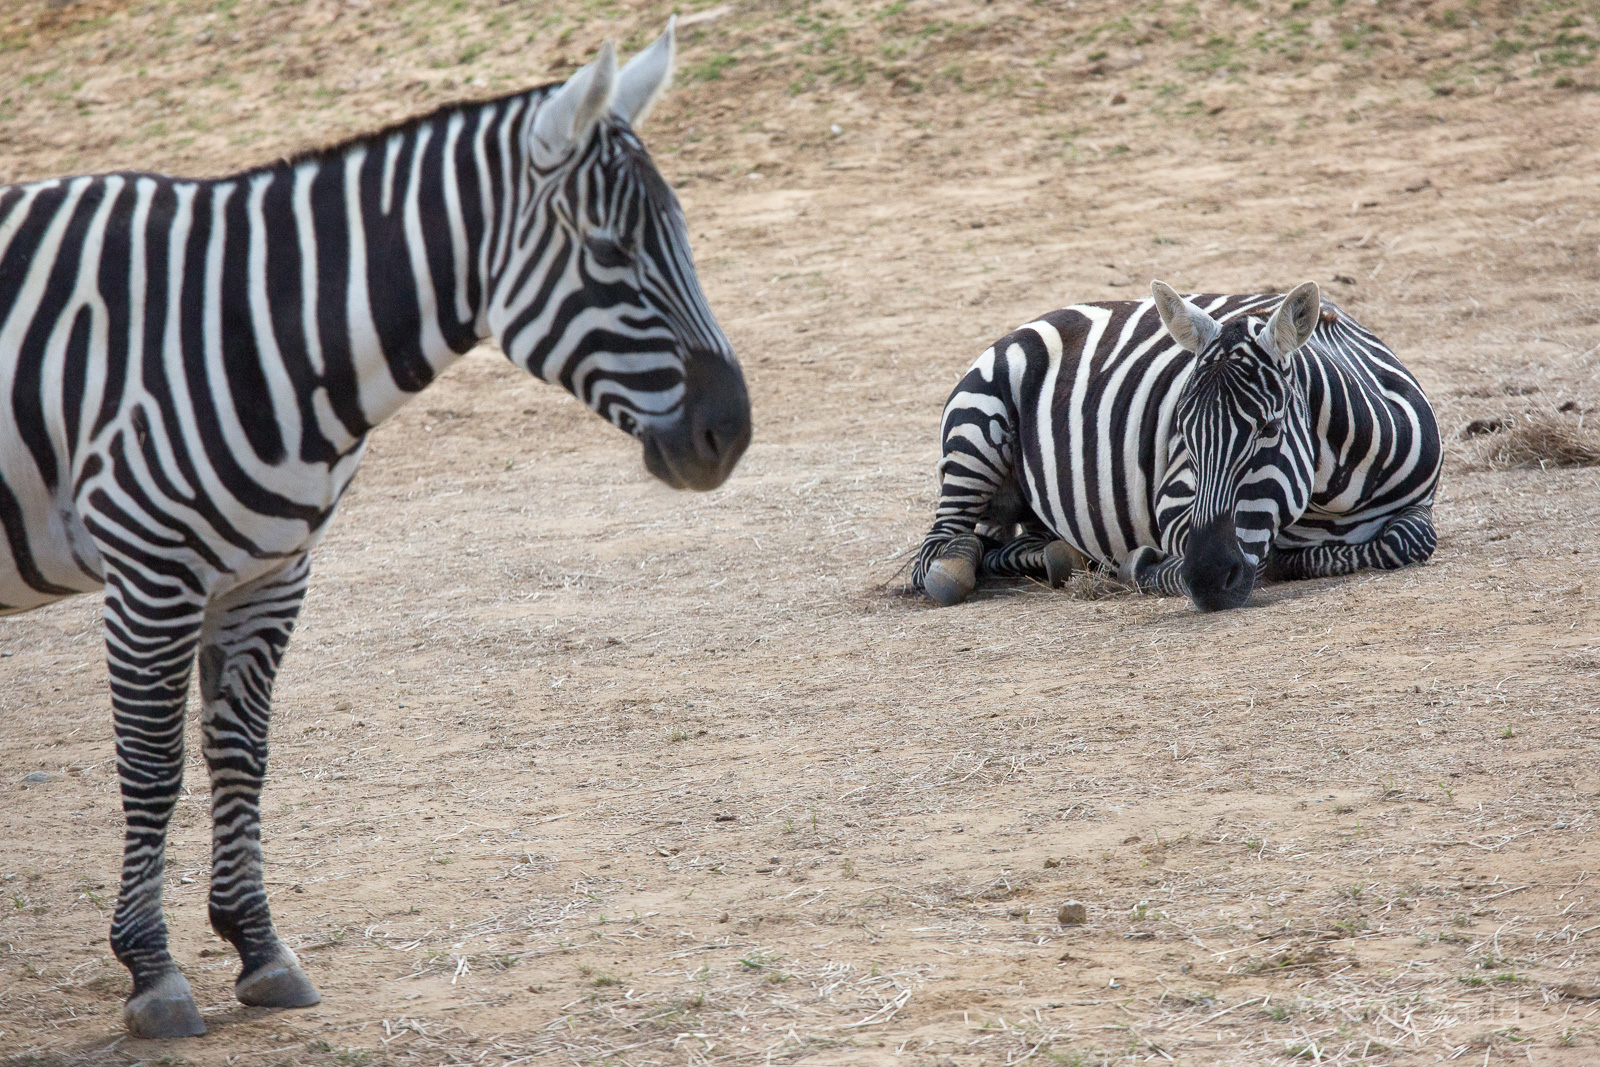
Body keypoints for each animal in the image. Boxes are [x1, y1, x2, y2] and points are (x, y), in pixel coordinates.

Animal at [0, 22, 750, 1039]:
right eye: (607, 249)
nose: (731, 432)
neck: (263, 330)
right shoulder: (151, 574)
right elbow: (153, 767)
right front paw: (152, 971)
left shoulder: (271, 571)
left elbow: (242, 754)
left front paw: (259, 947)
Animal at [912, 280, 1440, 612]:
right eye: (1181, 433)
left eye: (1269, 428)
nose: (1209, 578)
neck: (1335, 498)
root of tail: (1046, 314)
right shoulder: (1173, 506)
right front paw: (1149, 568)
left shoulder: (1422, 507)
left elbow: (1408, 540)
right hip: (975, 426)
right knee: (938, 550)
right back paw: (952, 566)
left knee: (1006, 544)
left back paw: (1063, 556)